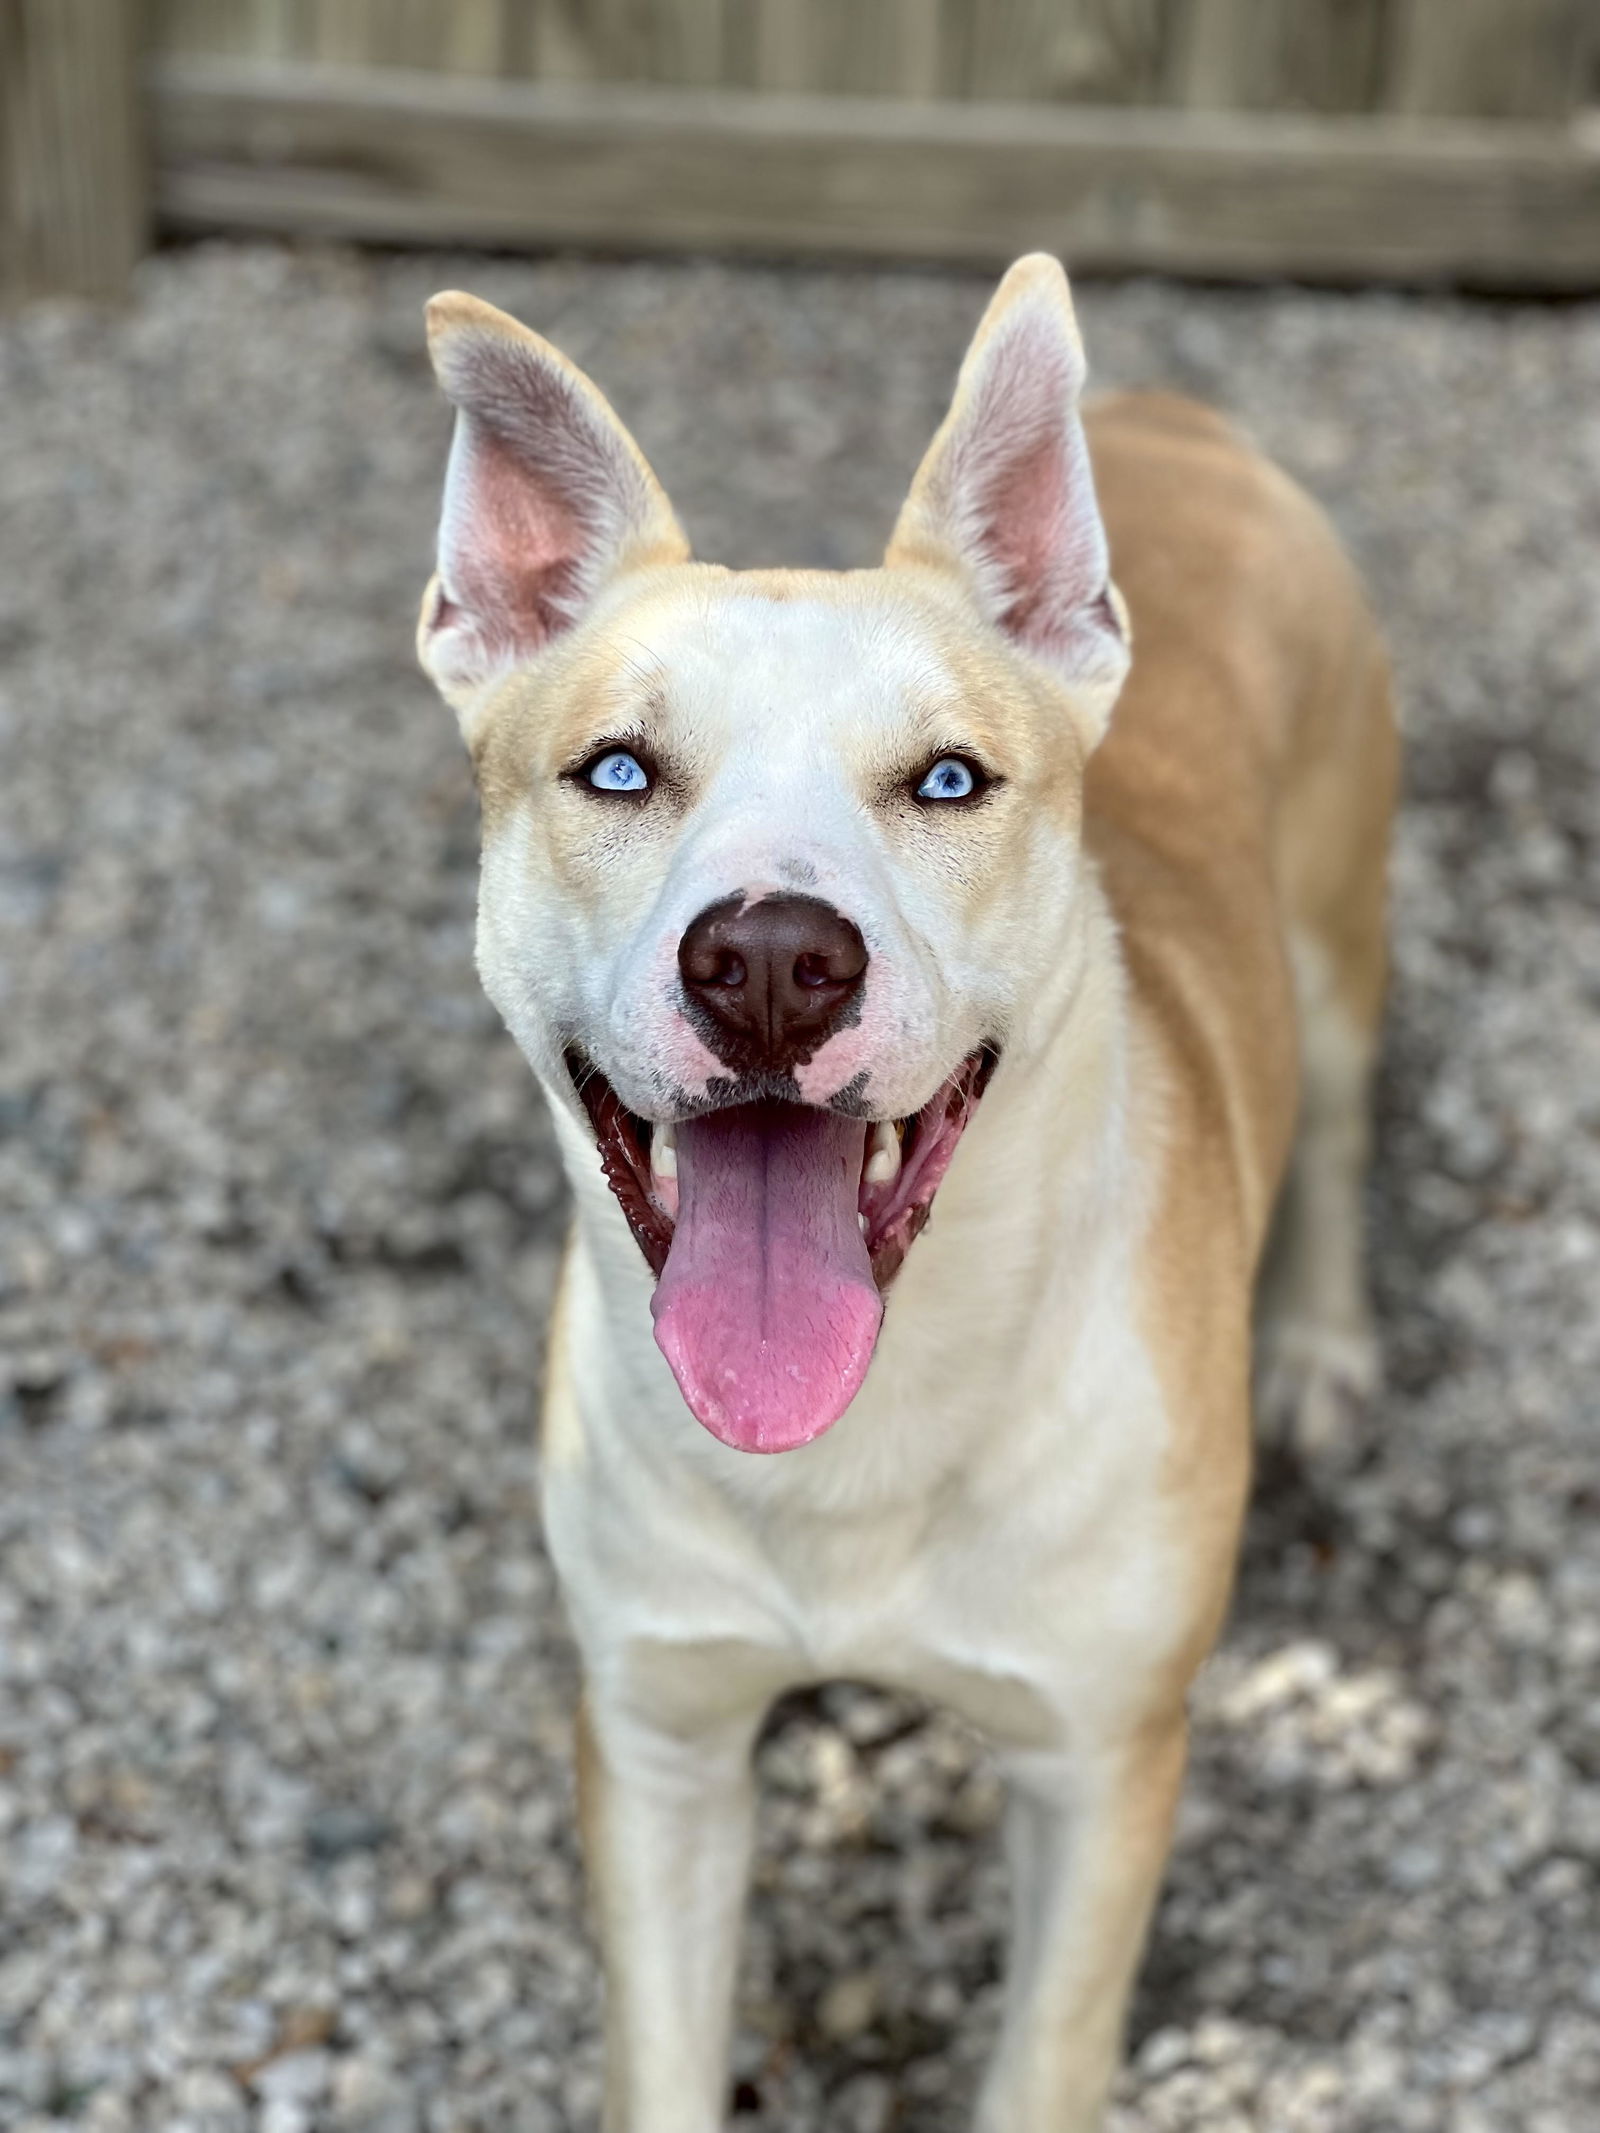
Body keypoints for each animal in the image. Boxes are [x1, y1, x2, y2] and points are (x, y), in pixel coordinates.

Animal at [416, 258, 1399, 2124]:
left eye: (947, 778)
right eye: (618, 769)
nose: (770, 961)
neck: (863, 1442)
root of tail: (1174, 419)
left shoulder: (1103, 1764)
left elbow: (1043, 2065)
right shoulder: (658, 1737)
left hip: (1334, 945)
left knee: (1336, 1137)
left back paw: (1320, 1348)